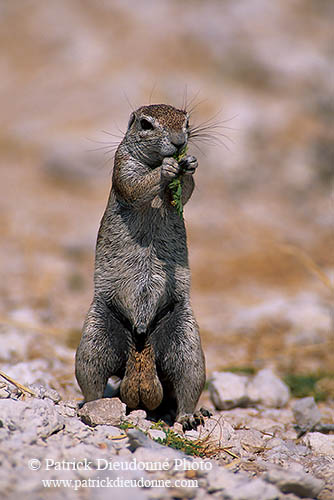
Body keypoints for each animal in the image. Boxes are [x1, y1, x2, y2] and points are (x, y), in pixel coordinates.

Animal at [75, 103, 206, 428]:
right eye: (146, 124)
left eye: (186, 121)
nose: (179, 142)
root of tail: (142, 341)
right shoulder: (122, 166)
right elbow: (134, 186)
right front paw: (167, 170)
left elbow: (187, 191)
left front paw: (189, 164)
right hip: (94, 341)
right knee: (92, 382)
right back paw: (91, 409)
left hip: (187, 344)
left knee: (187, 384)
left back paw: (189, 416)